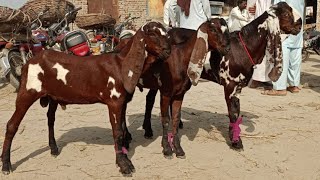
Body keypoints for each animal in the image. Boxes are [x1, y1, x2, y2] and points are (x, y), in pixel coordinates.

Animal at [1, 21, 171, 176]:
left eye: (166, 33)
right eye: (153, 34)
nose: (168, 50)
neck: (120, 65)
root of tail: (28, 63)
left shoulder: (122, 101)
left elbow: (122, 129)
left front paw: (124, 156)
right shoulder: (114, 102)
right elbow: (117, 132)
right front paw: (124, 165)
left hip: (53, 96)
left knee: (50, 120)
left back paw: (54, 148)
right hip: (27, 93)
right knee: (11, 125)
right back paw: (6, 165)